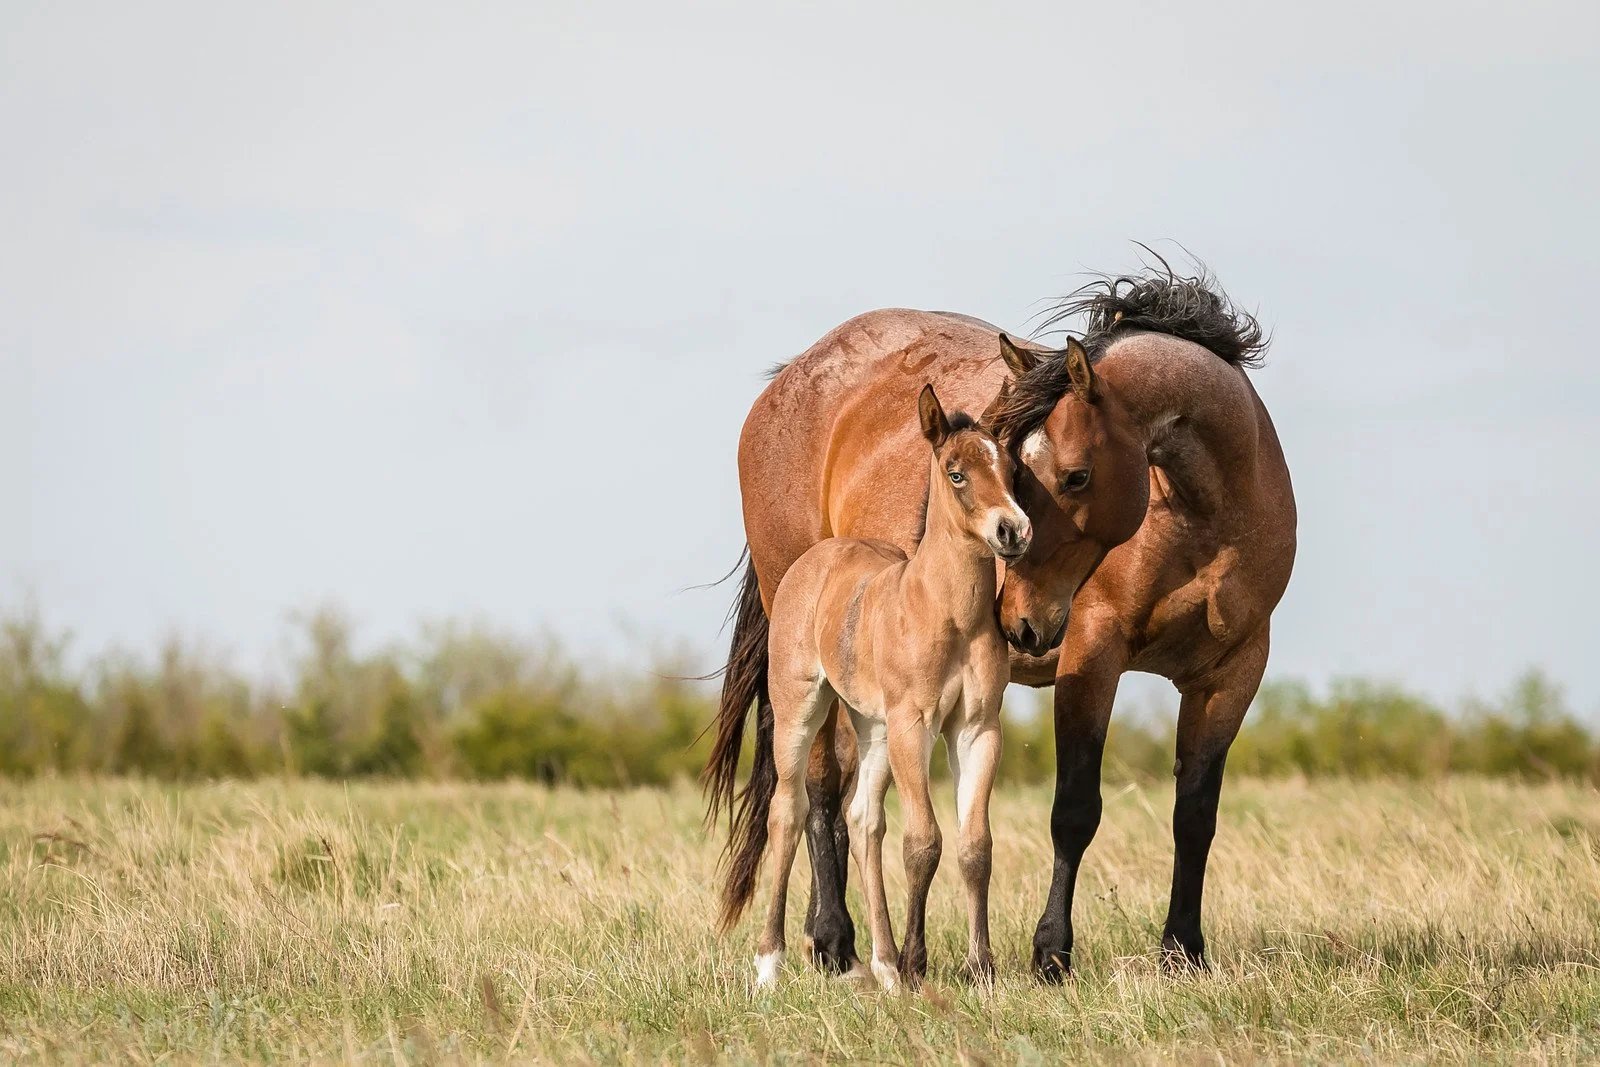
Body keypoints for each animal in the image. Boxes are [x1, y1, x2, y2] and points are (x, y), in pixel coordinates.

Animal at [749, 386, 1029, 991]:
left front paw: (981, 968)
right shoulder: (912, 725)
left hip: (871, 726)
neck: (949, 612)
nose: (1013, 531)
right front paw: (918, 963)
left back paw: (882, 964)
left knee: (862, 820)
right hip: (802, 709)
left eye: (1012, 470)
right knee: (787, 809)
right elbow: (923, 842)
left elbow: (975, 845)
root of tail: (815, 558)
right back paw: (769, 965)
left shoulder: (977, 729)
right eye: (955, 473)